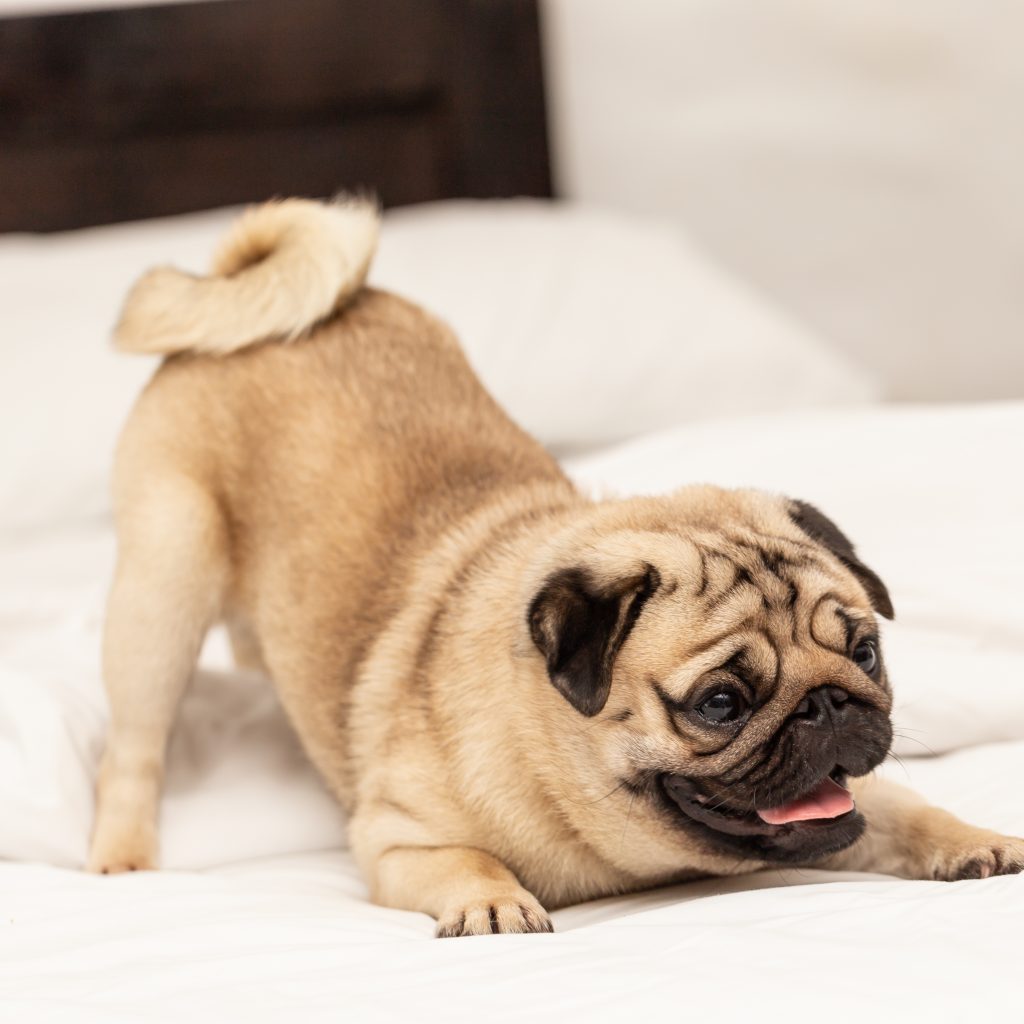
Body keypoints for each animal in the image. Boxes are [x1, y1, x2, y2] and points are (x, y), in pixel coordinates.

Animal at [90, 197, 1024, 937]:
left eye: (865, 653)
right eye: (720, 704)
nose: (830, 705)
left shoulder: (847, 803)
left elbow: (901, 810)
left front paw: (970, 839)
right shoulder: (397, 838)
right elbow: (465, 861)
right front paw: (493, 901)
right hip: (162, 593)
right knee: (135, 746)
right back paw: (122, 862)